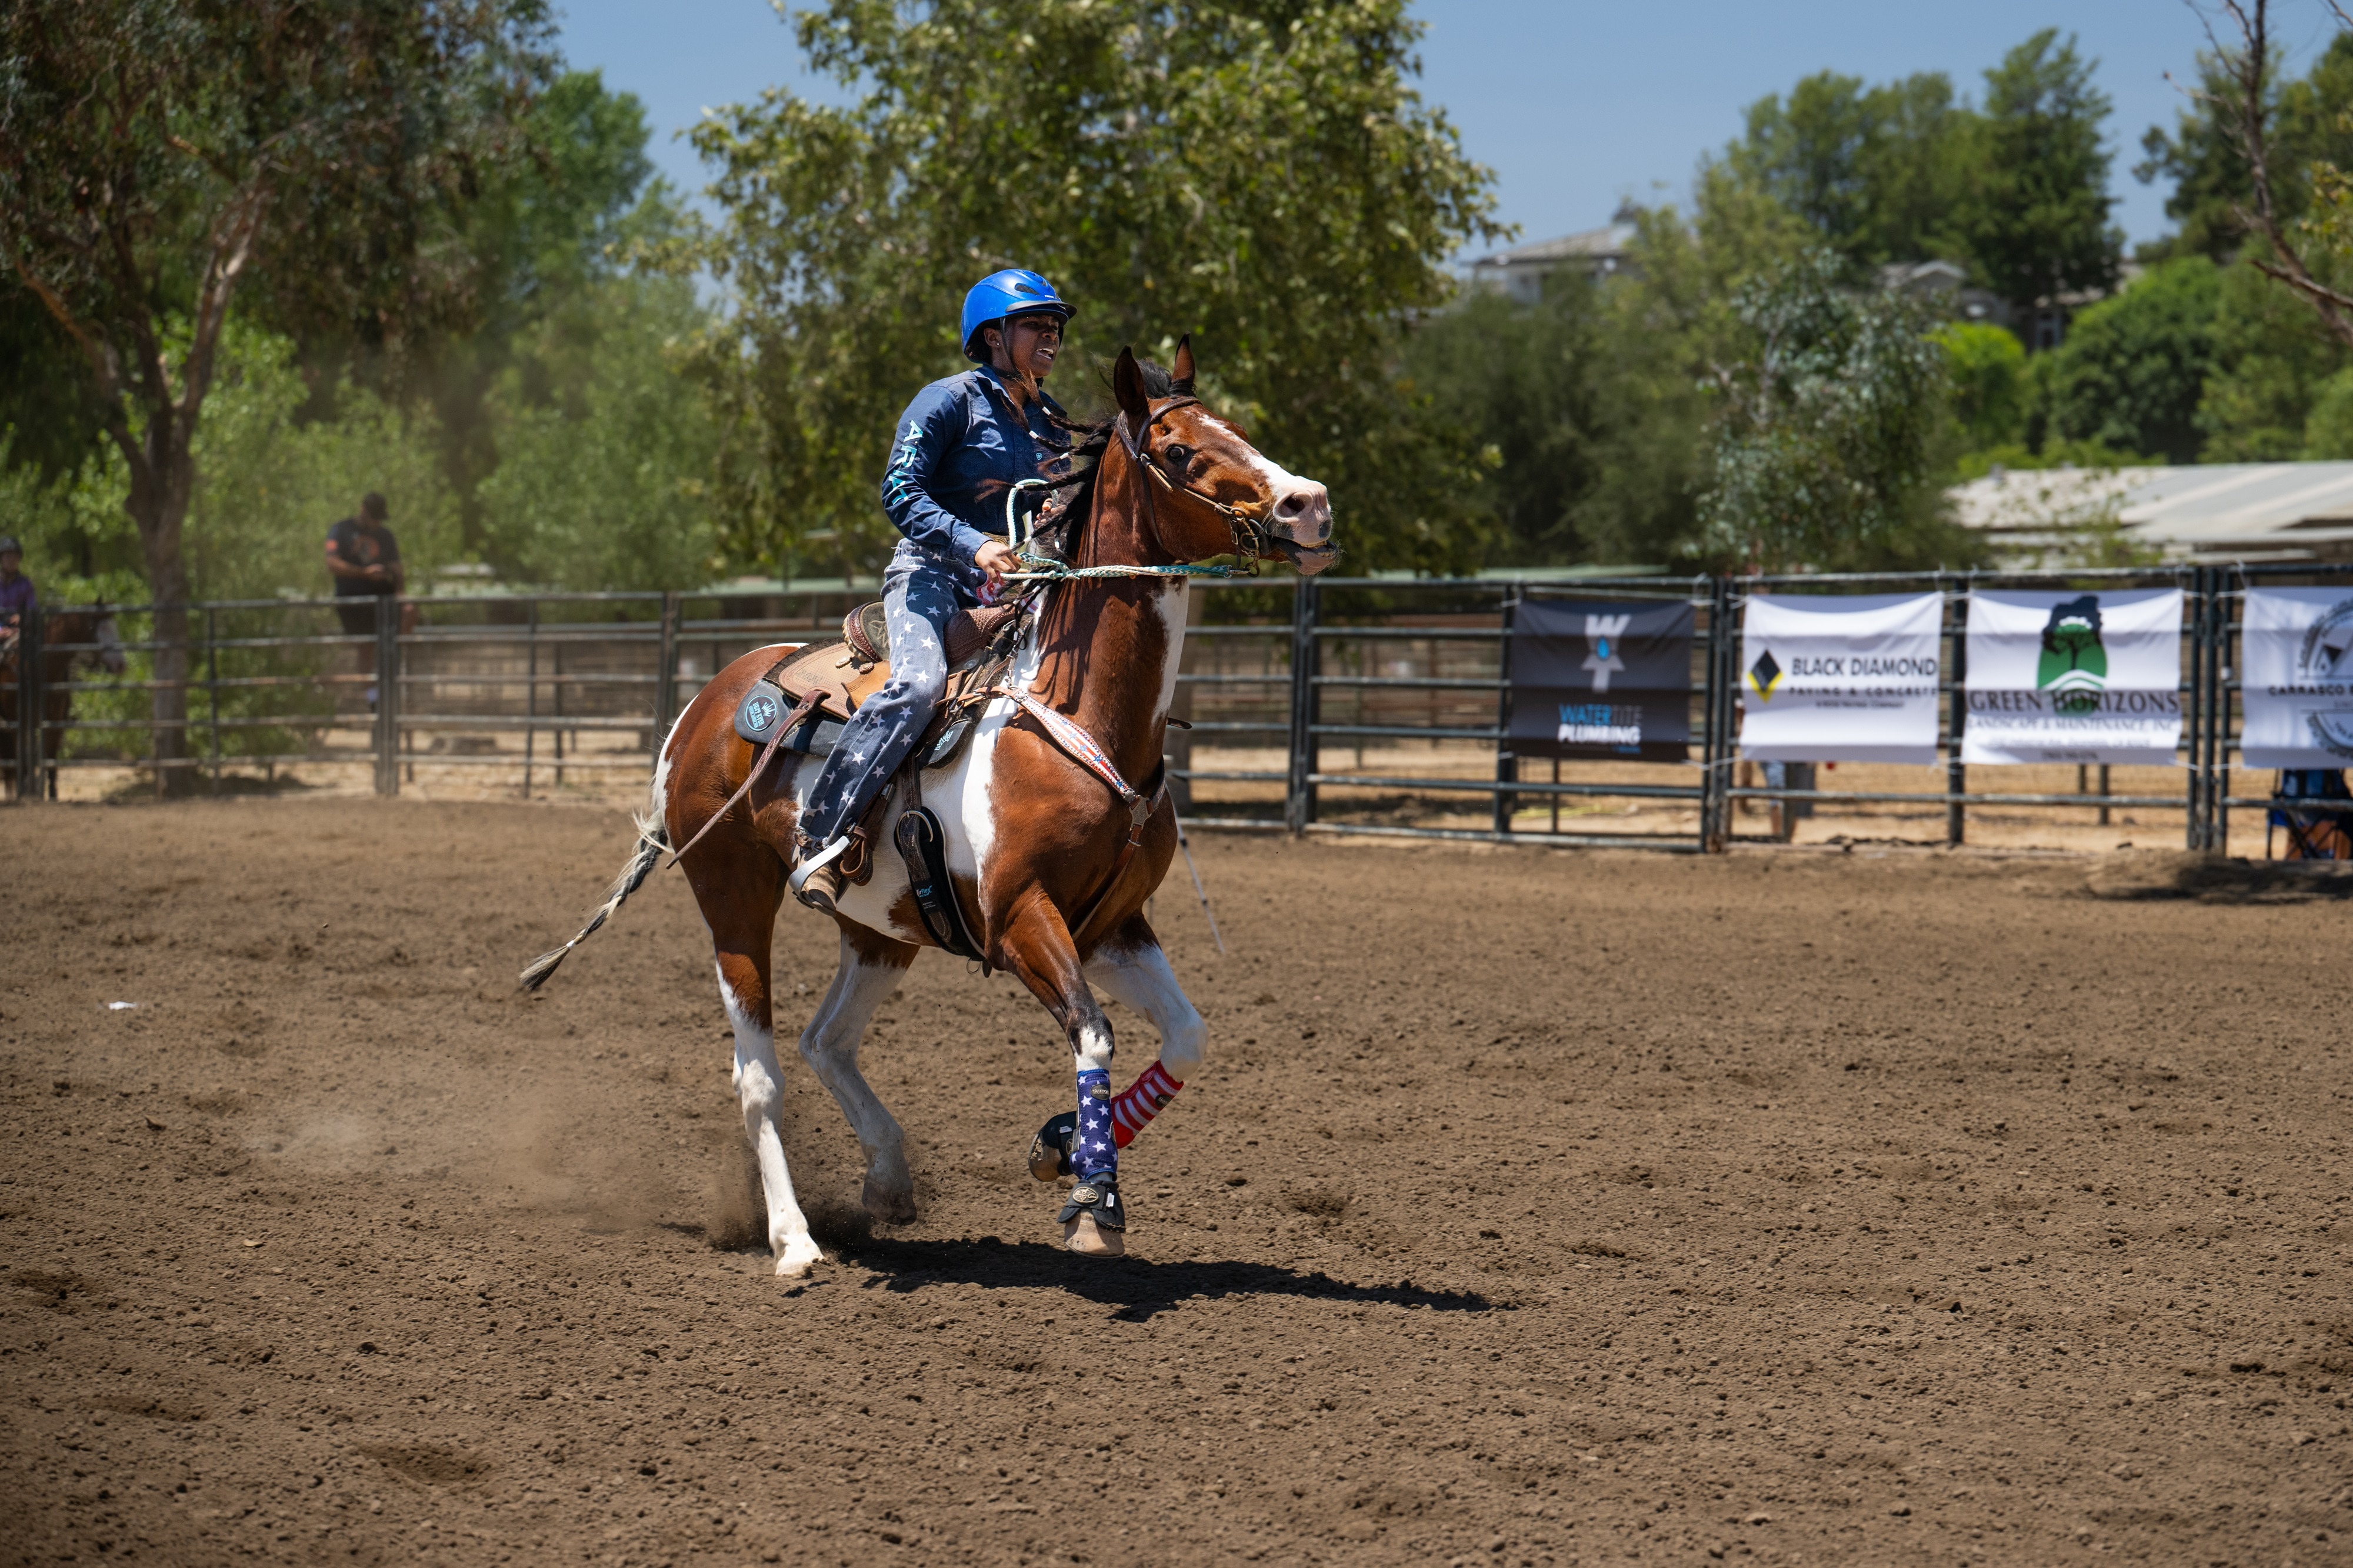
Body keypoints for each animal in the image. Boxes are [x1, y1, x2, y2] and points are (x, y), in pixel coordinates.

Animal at [2, 605, 126, 797]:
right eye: (100, 628)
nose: (121, 664)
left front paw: (53, 794)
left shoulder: (55, 721)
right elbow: (23, 760)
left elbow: (51, 759)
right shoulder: (20, 722)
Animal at [521, 340, 1335, 1275]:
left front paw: (1061, 1144)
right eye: (1179, 450)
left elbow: (1188, 1037)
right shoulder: (1021, 919)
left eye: (1237, 427)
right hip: (733, 898)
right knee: (760, 1074)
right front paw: (1093, 1197)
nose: (1309, 503)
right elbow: (1093, 1034)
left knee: (826, 1041)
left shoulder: (1115, 925)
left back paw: (888, 1178)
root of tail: (702, 706)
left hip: (881, 928)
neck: (1078, 717)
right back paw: (794, 1242)